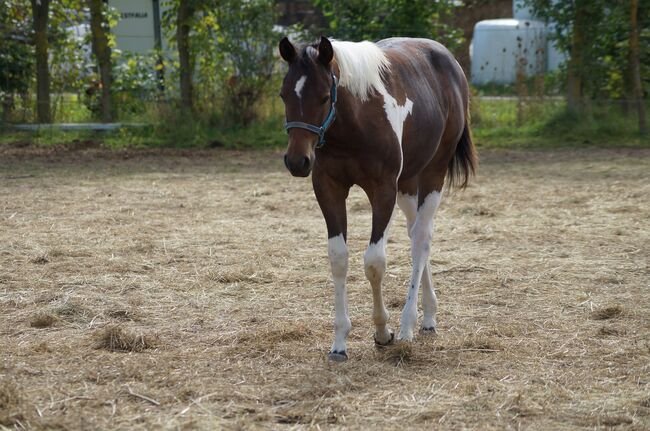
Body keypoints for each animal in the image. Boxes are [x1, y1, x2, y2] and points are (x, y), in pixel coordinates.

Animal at [276, 36, 474, 362]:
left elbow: (374, 262)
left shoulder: (383, 190)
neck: (354, 122)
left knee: (421, 239)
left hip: (433, 173)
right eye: (283, 95)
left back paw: (408, 324)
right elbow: (338, 258)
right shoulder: (329, 189)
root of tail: (449, 61)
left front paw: (383, 331)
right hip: (407, 183)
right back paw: (429, 316)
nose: (297, 161)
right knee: (415, 234)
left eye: (323, 97)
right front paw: (339, 341)